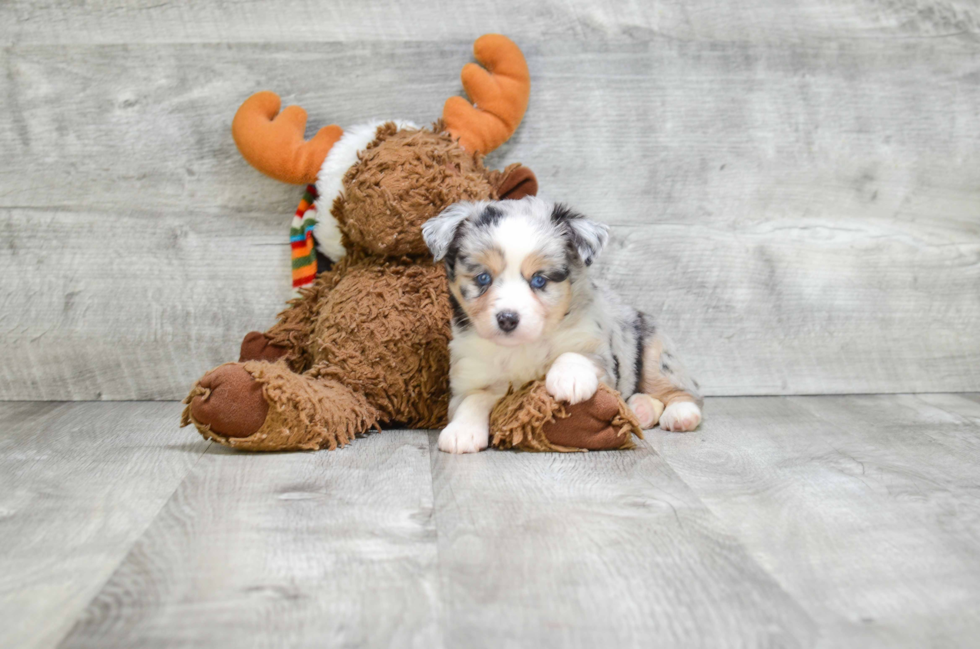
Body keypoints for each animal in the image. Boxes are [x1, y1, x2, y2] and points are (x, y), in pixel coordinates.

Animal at [424, 195, 704, 454]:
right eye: (483, 278)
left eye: (539, 280)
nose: (507, 319)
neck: (522, 346)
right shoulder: (468, 377)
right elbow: (473, 399)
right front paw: (462, 432)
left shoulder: (601, 355)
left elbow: (575, 354)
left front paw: (570, 379)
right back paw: (640, 409)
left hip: (656, 354)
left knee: (683, 391)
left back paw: (680, 414)